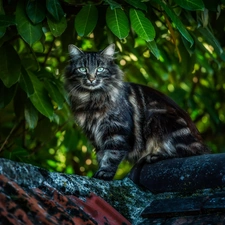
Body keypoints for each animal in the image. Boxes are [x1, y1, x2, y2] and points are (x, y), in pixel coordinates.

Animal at [64, 43, 210, 181]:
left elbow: (112, 155)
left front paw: (105, 173)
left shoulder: (116, 131)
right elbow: (102, 156)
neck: (91, 99)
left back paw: (154, 156)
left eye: (100, 69)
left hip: (157, 117)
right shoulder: (94, 136)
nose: (91, 78)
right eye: (83, 69)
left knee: (188, 152)